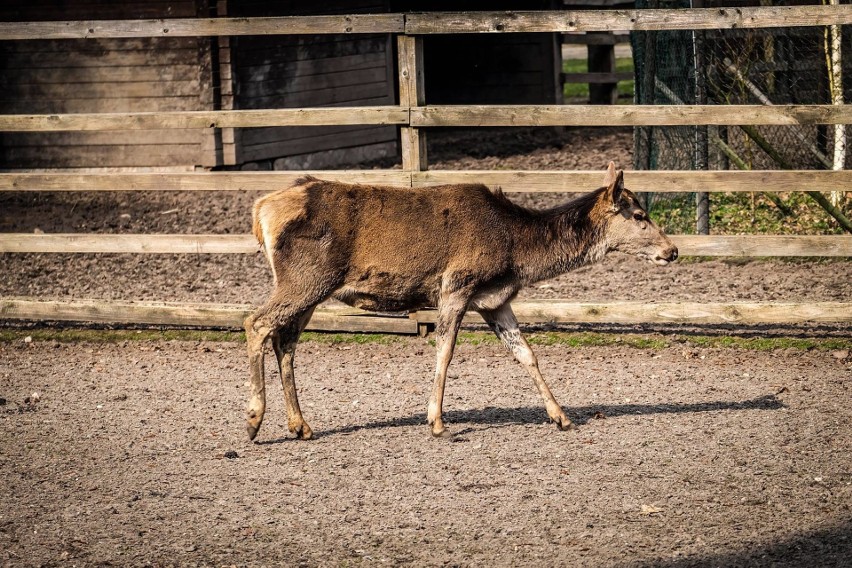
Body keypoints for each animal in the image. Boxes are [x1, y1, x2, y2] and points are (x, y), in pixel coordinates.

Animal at [243, 162, 676, 442]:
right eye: (639, 214)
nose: (671, 251)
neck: (516, 253)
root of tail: (260, 210)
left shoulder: (494, 300)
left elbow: (527, 354)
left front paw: (562, 417)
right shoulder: (456, 284)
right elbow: (445, 352)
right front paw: (436, 422)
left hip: (310, 288)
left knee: (286, 341)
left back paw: (300, 426)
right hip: (306, 278)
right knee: (257, 322)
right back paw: (253, 420)